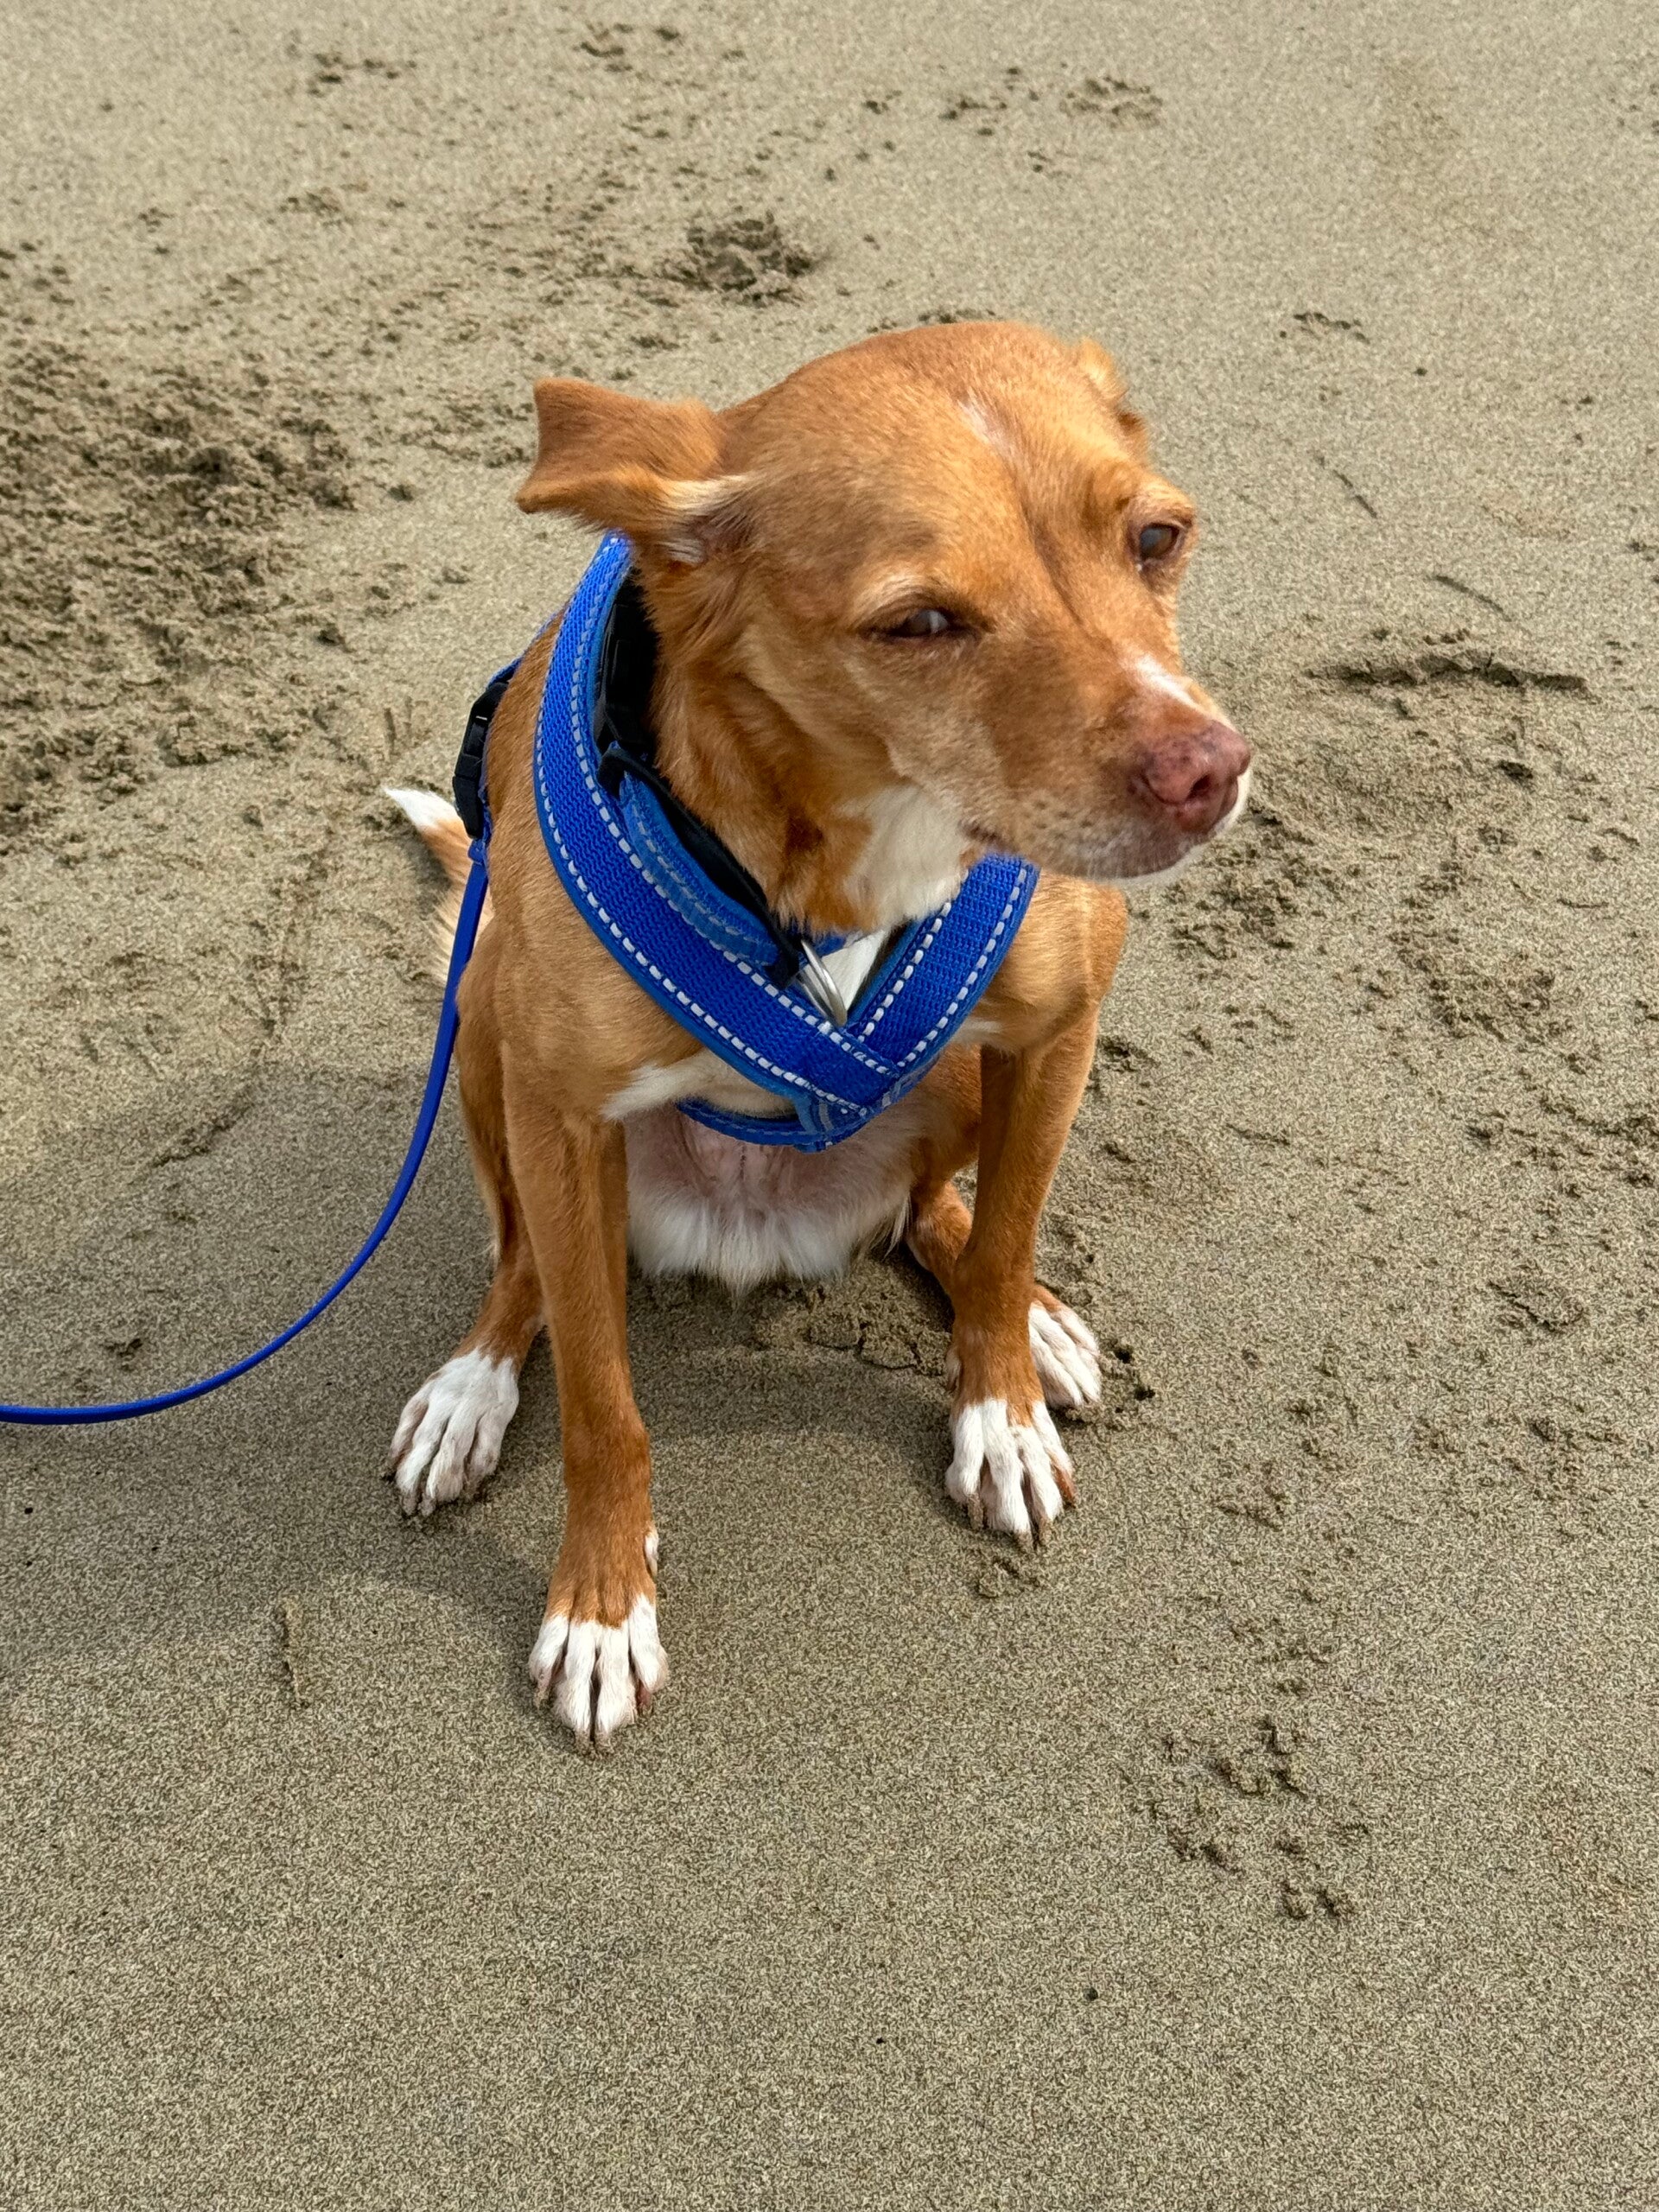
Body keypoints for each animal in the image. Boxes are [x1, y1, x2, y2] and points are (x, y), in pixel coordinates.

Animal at [383, 320, 1250, 1747]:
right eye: (920, 623)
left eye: (1159, 539)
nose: (1205, 772)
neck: (864, 838)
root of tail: (758, 1231)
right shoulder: (563, 1112)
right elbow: (602, 1406)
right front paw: (602, 1604)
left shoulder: (1055, 1036)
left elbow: (1005, 1245)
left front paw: (1000, 1410)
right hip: (487, 1028)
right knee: (525, 1270)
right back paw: (472, 1388)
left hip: (960, 1079)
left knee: (938, 1210)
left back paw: (1031, 1319)